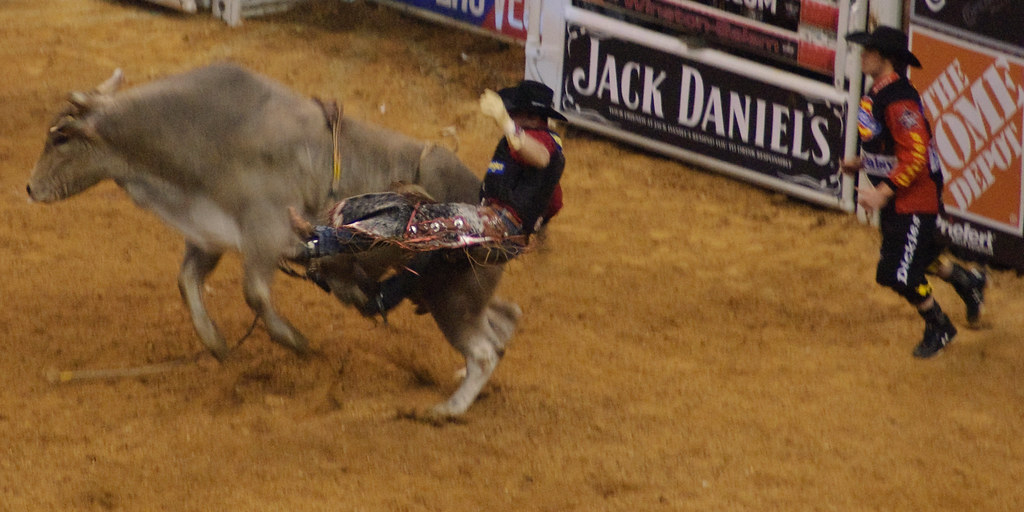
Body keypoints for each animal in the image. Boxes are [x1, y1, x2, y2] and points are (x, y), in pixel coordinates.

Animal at [26, 63, 521, 417]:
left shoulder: (265, 233)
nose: (30, 188)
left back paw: (447, 409)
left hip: (452, 296)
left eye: (61, 136)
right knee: (503, 323)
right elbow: (188, 282)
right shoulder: (209, 232)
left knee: (483, 349)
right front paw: (216, 343)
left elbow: (255, 293)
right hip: (449, 293)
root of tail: (498, 212)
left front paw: (298, 342)